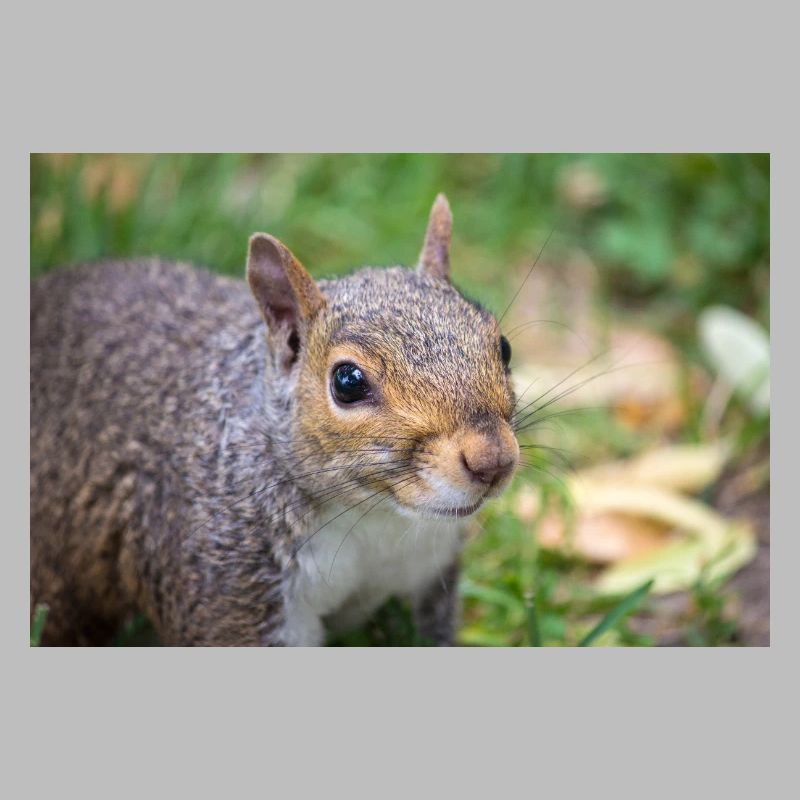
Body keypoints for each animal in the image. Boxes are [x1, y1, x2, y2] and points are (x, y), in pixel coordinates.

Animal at [30, 194, 520, 646]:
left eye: (504, 347)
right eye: (347, 381)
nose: (492, 461)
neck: (374, 516)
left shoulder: (427, 569)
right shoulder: (231, 585)